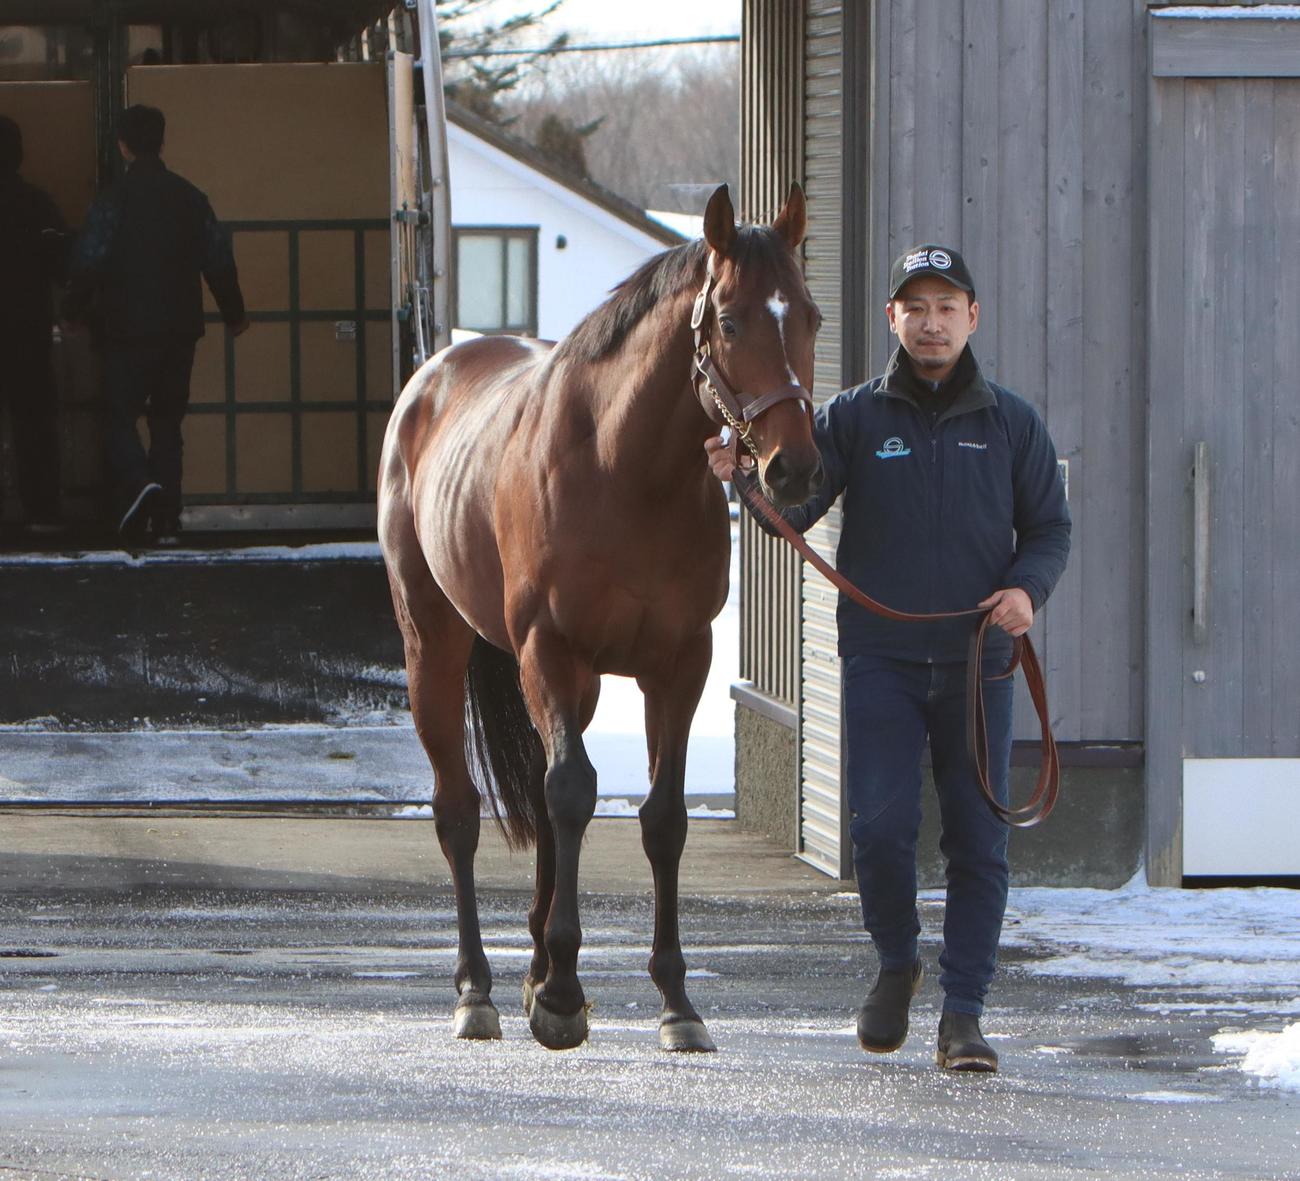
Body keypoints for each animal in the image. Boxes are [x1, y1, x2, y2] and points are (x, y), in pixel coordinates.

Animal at [377, 183, 823, 1052]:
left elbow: (659, 817)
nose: (793, 468)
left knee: (548, 802)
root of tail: (432, 377)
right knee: (461, 810)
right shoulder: (549, 648)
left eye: (812, 317)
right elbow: (573, 792)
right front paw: (559, 992)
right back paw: (478, 988)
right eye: (728, 320)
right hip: (435, 647)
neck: (625, 470)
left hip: (573, 682)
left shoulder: (678, 663)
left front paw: (674, 1000)